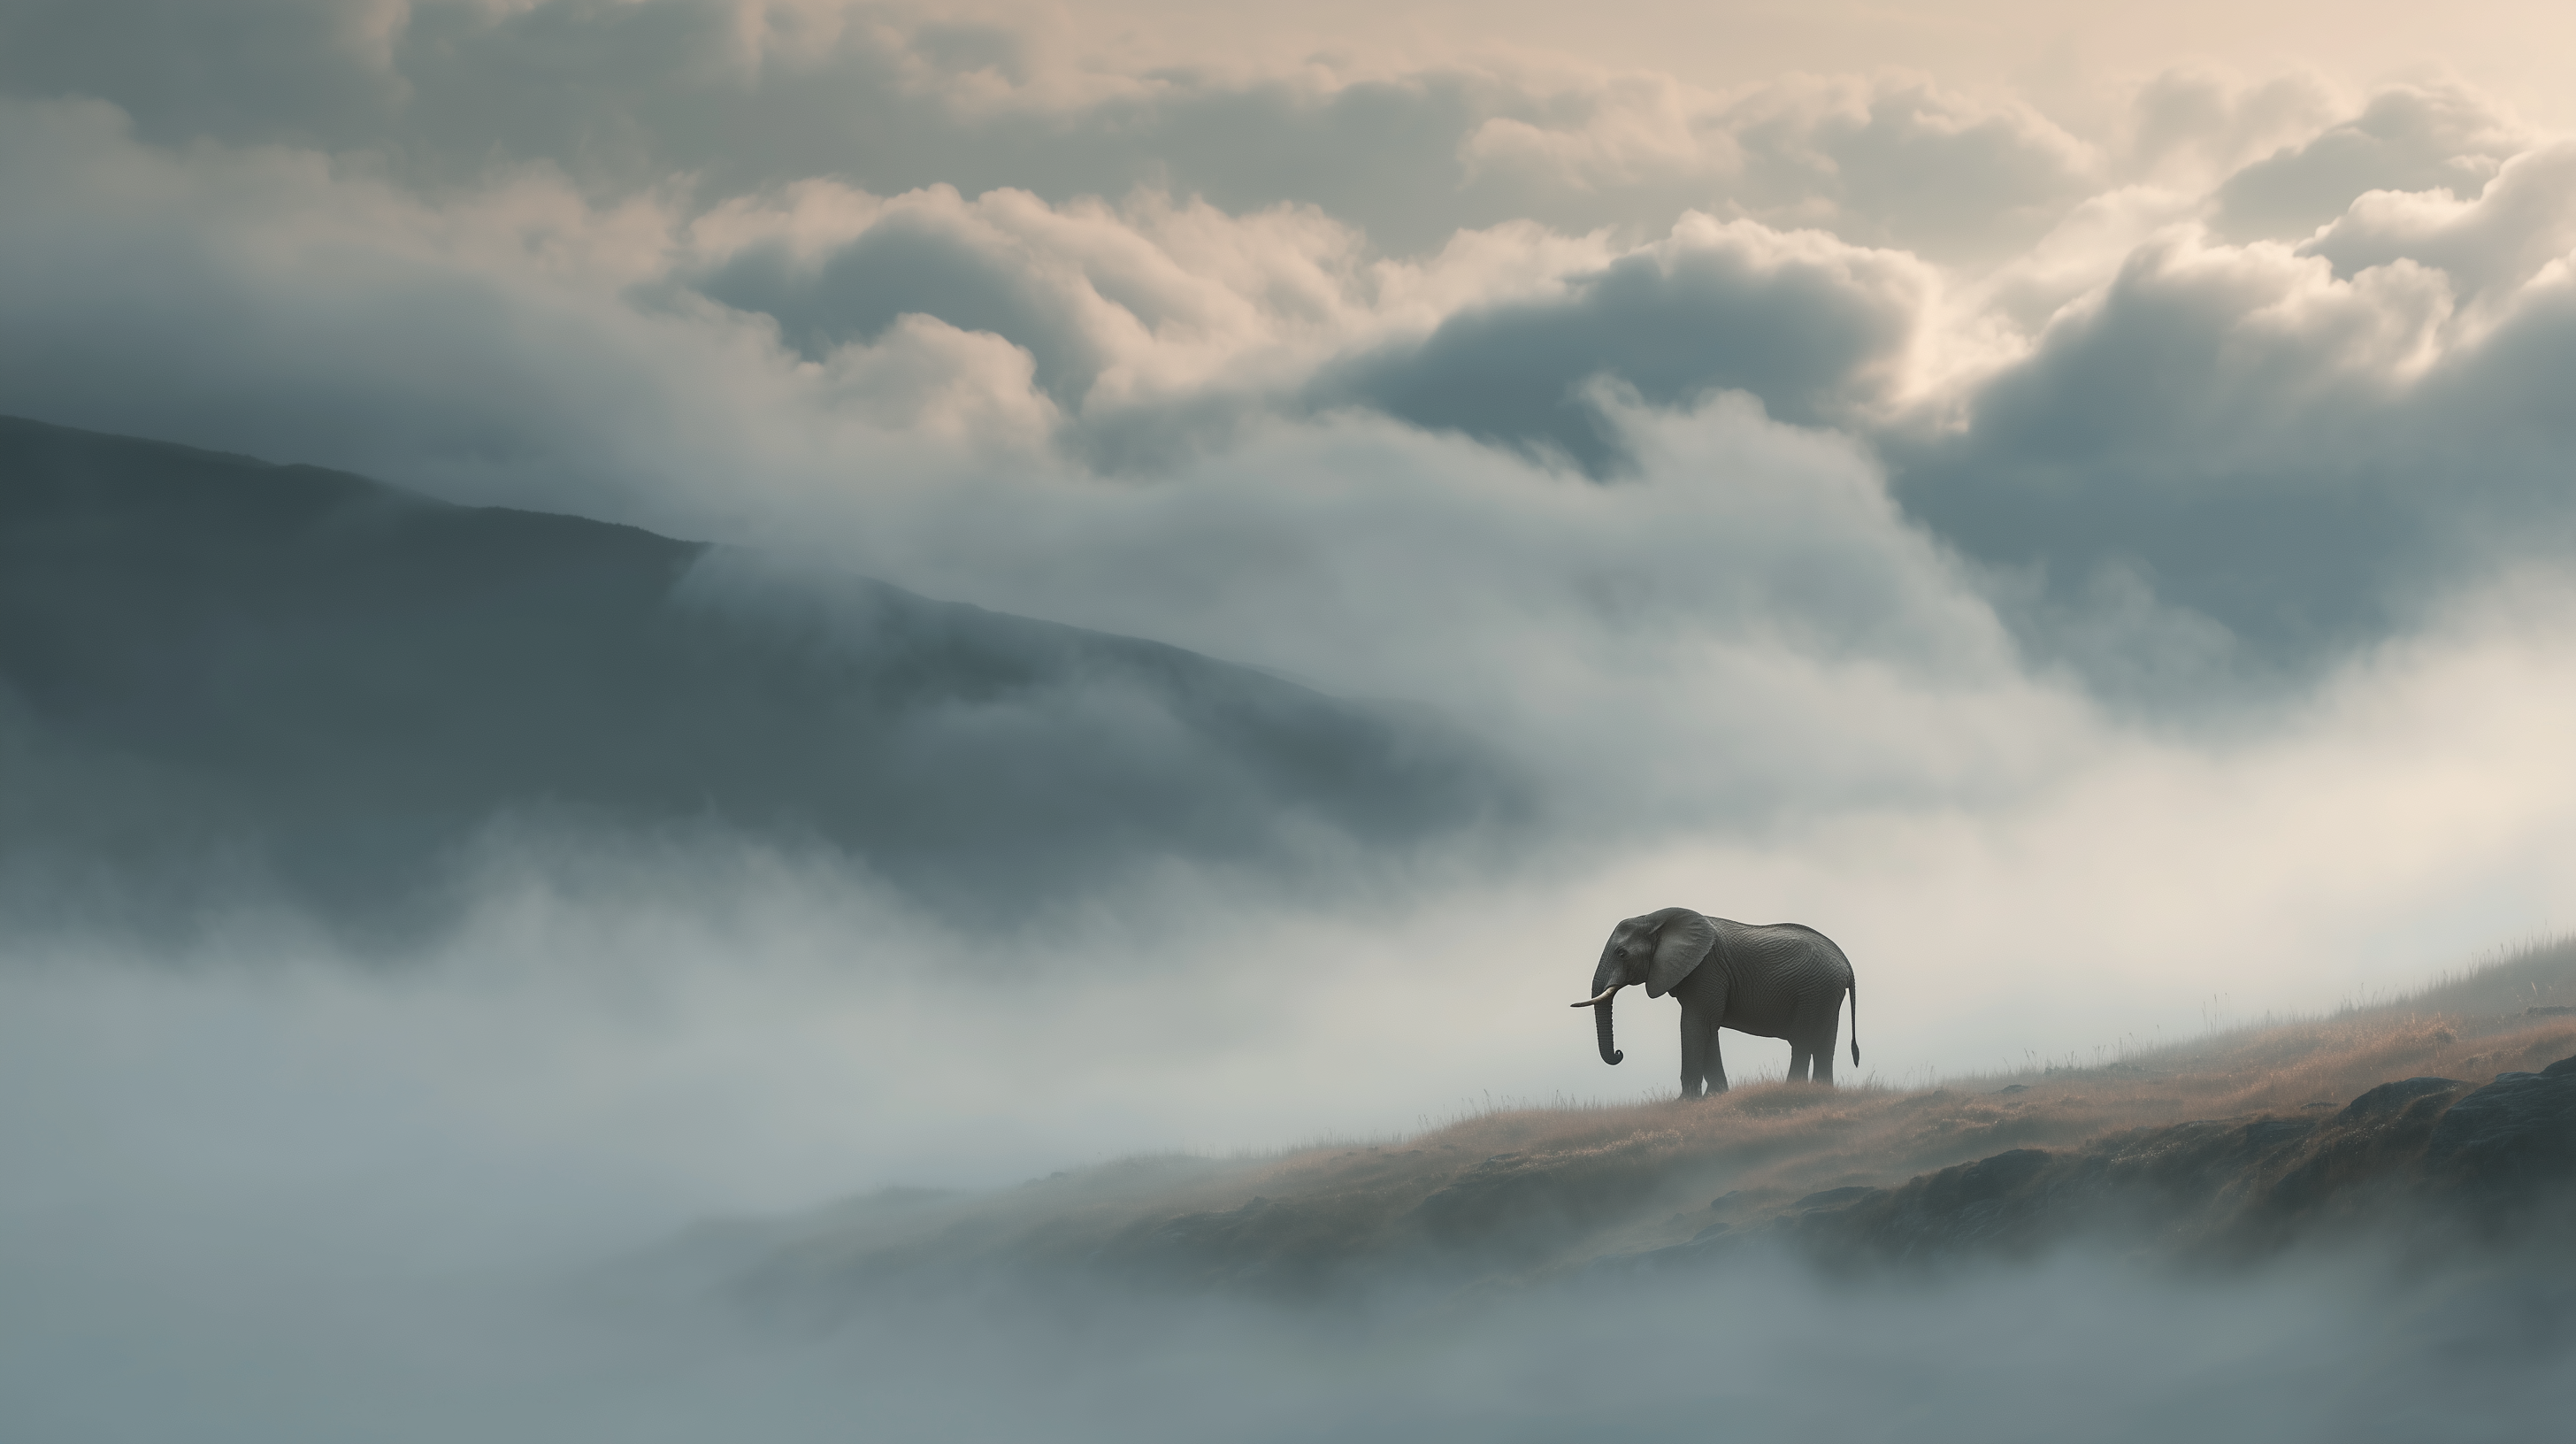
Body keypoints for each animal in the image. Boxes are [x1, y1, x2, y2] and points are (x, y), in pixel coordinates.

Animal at [1571, 907, 1858, 1097]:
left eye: (1622, 954)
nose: (1620, 1054)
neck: (1656, 919)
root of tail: (1846, 964)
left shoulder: (1706, 969)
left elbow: (1695, 1024)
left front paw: (1685, 1103)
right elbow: (1707, 1027)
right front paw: (1715, 1097)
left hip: (1814, 991)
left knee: (1802, 1043)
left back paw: (1790, 1091)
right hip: (1825, 994)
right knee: (1824, 1046)